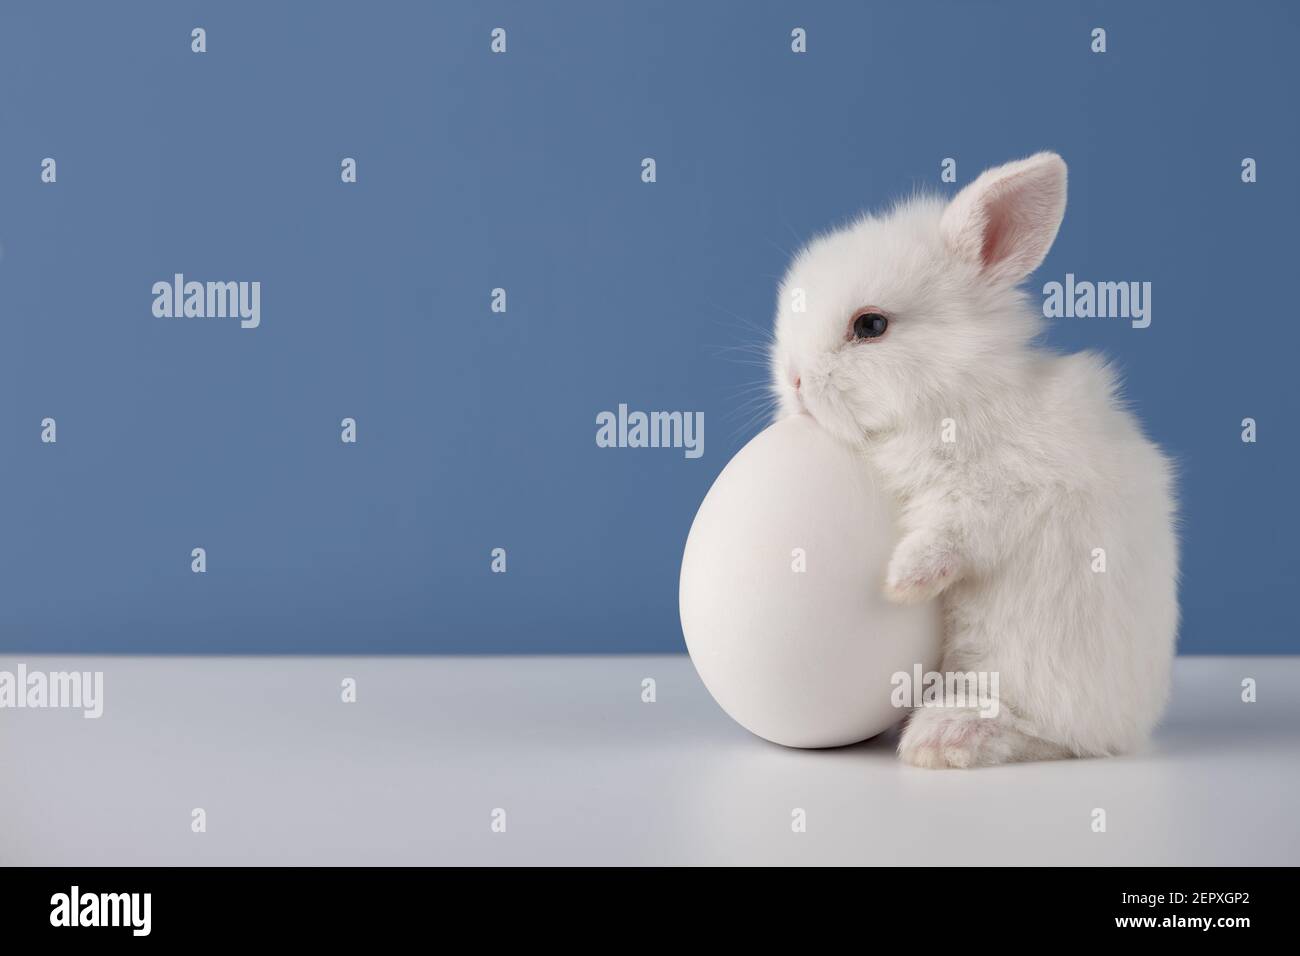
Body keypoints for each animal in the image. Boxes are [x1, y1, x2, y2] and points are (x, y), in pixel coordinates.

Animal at [764, 157, 1185, 770]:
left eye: (870, 325)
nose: (794, 382)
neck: (951, 394)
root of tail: (1134, 724)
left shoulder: (1010, 495)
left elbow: (955, 533)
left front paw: (901, 581)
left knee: (1053, 733)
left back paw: (943, 736)